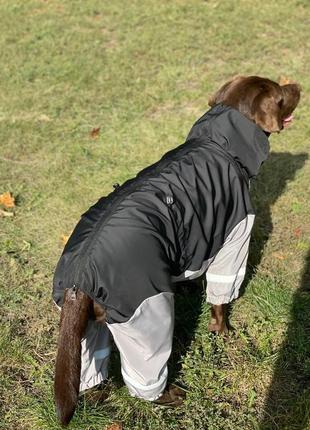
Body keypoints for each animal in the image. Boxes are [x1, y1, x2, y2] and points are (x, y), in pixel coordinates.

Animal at [53, 76, 300, 426]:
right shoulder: (234, 237)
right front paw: (223, 332)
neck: (218, 141)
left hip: (83, 330)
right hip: (145, 315)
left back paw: (98, 398)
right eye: (281, 95)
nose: (299, 85)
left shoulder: (202, 238)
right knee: (144, 376)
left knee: (89, 371)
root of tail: (80, 274)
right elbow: (221, 299)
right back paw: (170, 396)